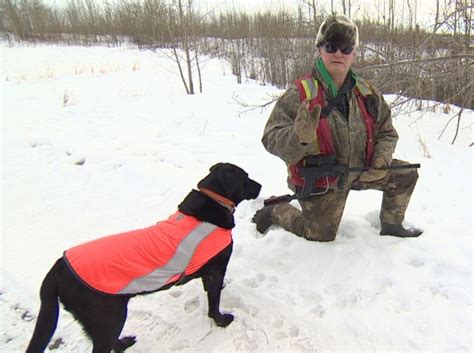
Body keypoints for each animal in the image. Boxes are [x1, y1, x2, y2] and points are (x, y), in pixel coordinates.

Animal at [25, 162, 262, 352]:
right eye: (245, 177)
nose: (260, 185)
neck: (213, 200)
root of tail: (58, 268)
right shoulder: (215, 270)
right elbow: (213, 302)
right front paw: (222, 320)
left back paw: (124, 343)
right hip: (109, 317)